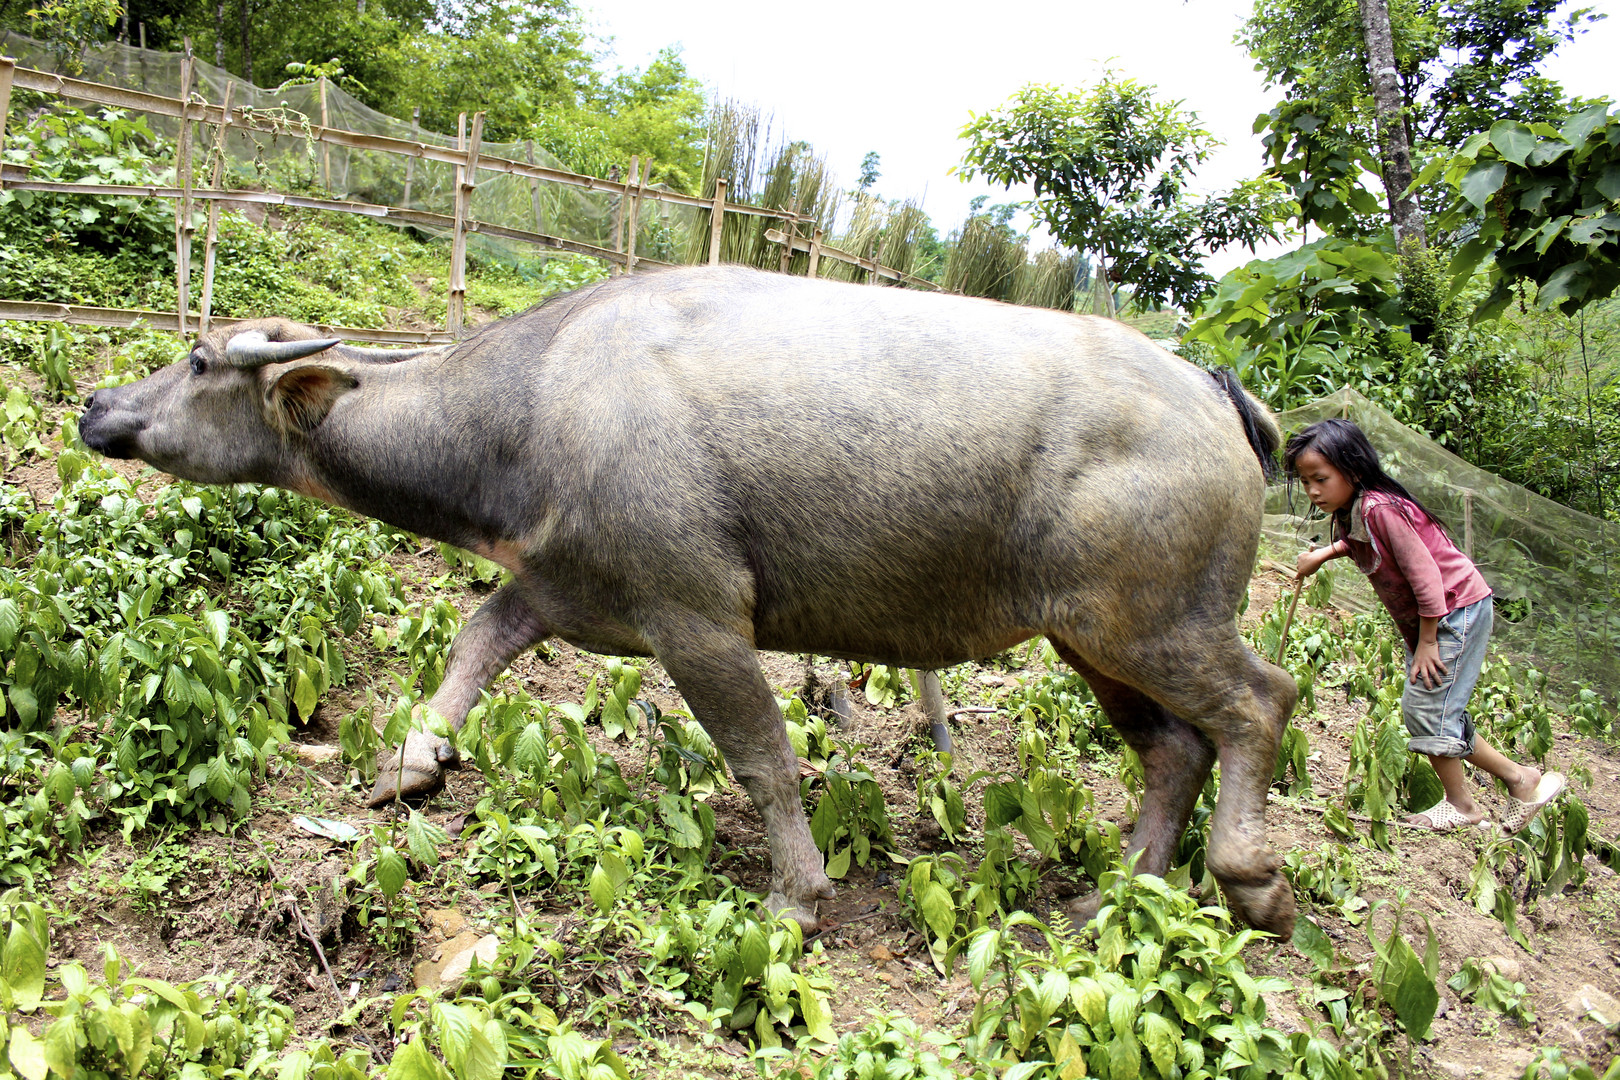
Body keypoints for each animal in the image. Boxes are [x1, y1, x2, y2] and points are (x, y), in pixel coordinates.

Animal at [82, 263, 1296, 939]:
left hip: (1149, 622)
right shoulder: (560, 588)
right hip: (1090, 639)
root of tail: (1213, 393)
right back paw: (1115, 898)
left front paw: (797, 896)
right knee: (1175, 749)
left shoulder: (699, 618)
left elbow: (763, 758)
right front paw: (408, 766)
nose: (96, 404)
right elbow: (474, 642)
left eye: (199, 361)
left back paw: (1250, 882)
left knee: (1261, 703)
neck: (539, 402)